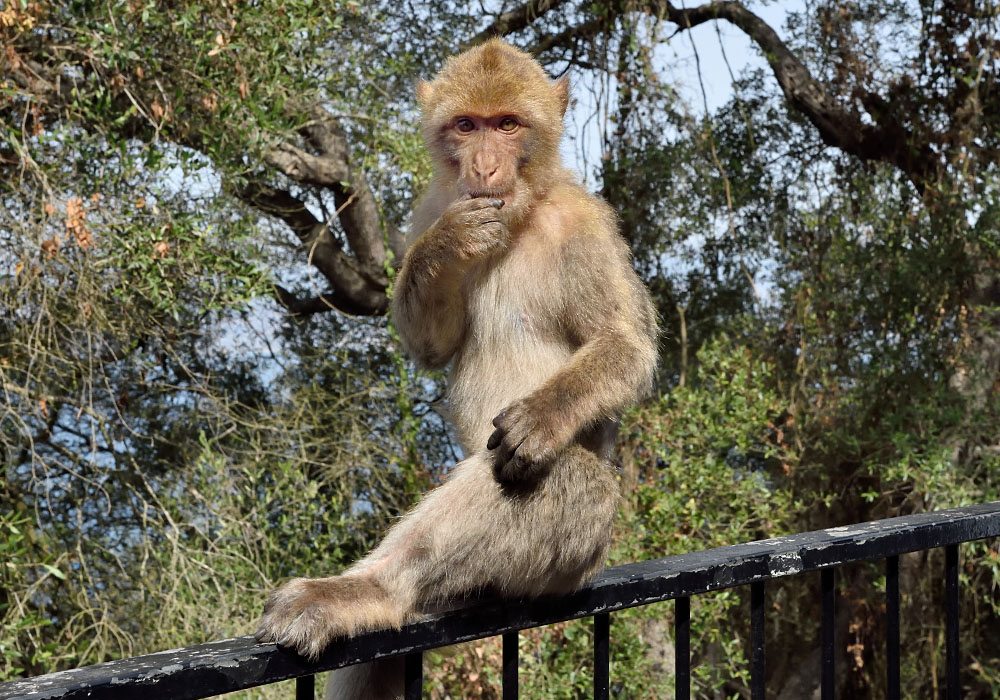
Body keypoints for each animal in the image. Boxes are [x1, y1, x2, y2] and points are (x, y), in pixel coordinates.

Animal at [255, 39, 658, 699]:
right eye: (467, 126)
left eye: (508, 125)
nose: (486, 169)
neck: (521, 216)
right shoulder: (432, 206)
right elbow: (432, 346)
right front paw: (448, 246)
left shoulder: (586, 225)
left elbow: (625, 345)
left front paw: (540, 418)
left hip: (570, 564)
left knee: (549, 477)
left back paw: (375, 591)